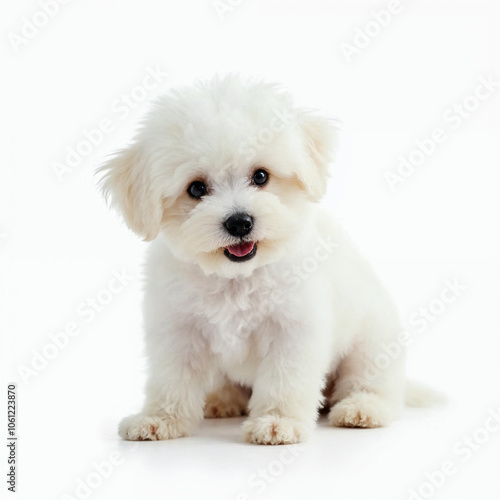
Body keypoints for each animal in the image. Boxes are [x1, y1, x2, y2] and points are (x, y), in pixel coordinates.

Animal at [99, 75, 416, 446]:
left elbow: (285, 380)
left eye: (261, 176)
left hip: (371, 343)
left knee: (374, 385)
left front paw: (278, 422)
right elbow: (171, 379)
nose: (239, 222)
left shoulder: (293, 330)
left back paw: (362, 408)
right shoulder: (177, 329)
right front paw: (159, 418)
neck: (237, 278)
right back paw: (222, 400)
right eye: (196, 189)